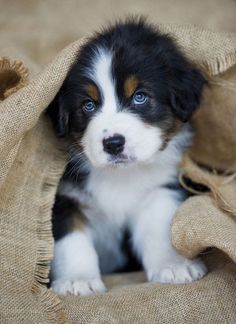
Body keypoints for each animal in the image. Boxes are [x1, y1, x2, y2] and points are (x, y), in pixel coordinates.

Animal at [48, 17, 206, 296]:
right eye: (88, 104)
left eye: (139, 96)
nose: (113, 144)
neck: (121, 176)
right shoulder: (66, 197)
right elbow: (72, 240)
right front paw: (77, 280)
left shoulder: (162, 187)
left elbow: (159, 227)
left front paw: (174, 265)